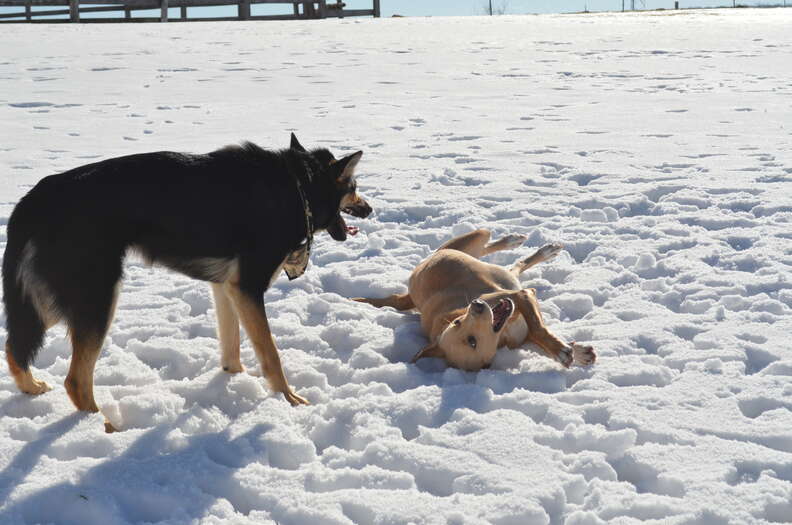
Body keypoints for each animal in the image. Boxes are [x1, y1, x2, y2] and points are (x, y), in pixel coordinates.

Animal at [2, 132, 372, 430]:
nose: (368, 209)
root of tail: (36, 197)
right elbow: (271, 353)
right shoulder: (248, 287)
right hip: (96, 299)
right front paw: (289, 400)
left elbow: (232, 347)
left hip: (55, 299)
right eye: (354, 188)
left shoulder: (228, 288)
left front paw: (232, 383)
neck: (299, 187)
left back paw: (33, 388)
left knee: (14, 348)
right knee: (75, 380)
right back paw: (104, 427)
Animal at [352, 230, 592, 372]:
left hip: (468, 243)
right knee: (514, 266)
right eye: (472, 342)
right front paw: (571, 351)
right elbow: (535, 333)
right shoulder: (520, 301)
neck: (504, 329)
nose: (476, 305)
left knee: (489, 246)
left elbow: (537, 326)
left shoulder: (520, 296)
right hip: (500, 273)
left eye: (457, 322)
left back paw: (517, 242)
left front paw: (563, 349)